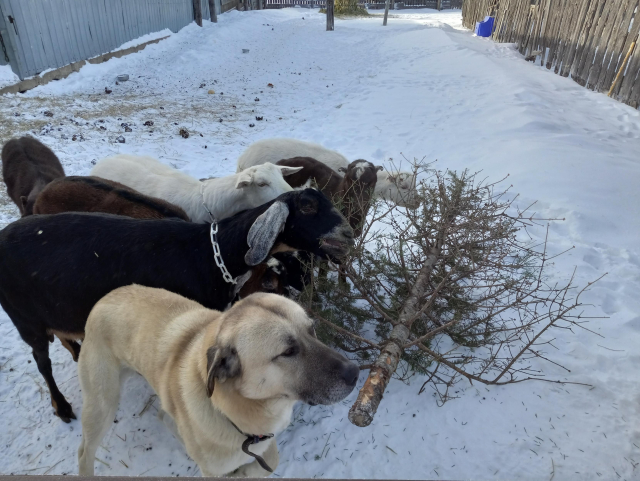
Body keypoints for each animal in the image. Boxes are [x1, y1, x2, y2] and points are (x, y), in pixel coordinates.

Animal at [0, 188, 352, 420]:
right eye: (307, 205)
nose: (348, 233)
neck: (211, 254)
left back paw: (76, 349)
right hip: (24, 317)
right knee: (42, 362)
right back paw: (62, 406)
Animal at [77, 284, 360, 476]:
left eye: (312, 330)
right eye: (288, 351)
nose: (355, 373)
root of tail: (103, 299)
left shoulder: (265, 442)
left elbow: (271, 462)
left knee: (164, 416)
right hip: (102, 405)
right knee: (84, 451)